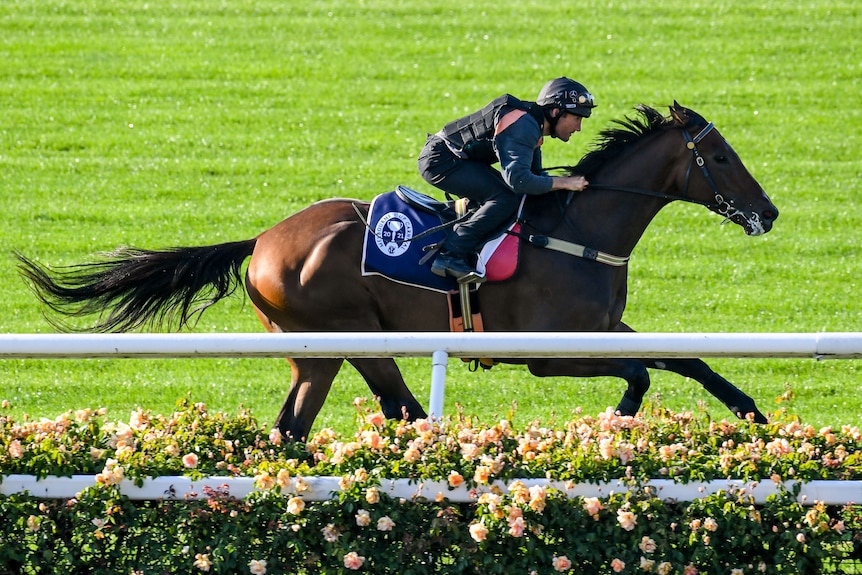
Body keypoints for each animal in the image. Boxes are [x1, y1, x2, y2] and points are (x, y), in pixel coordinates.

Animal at [16, 102, 780, 440]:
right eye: (721, 157)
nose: (768, 212)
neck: (579, 231)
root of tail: (261, 241)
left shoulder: (604, 327)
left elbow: (687, 360)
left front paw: (755, 413)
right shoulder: (544, 352)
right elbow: (641, 375)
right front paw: (609, 423)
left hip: (319, 350)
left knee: (305, 426)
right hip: (347, 334)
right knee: (386, 412)